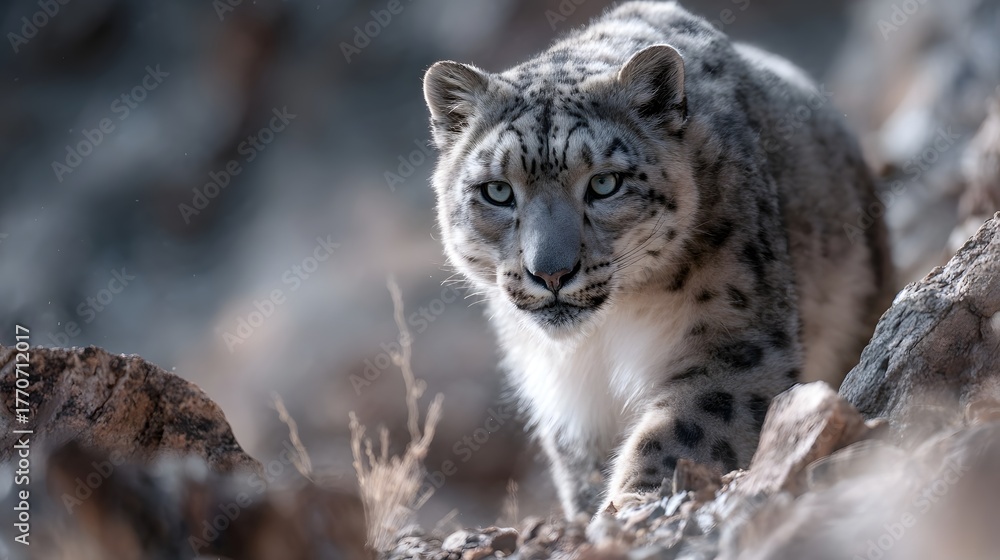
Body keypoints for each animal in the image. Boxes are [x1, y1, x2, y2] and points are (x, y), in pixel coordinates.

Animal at [422, 0, 893, 519]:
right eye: (498, 191)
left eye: (605, 183)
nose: (551, 272)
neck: (600, 338)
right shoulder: (566, 399)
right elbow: (582, 470)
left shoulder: (735, 342)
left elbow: (682, 429)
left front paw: (631, 505)